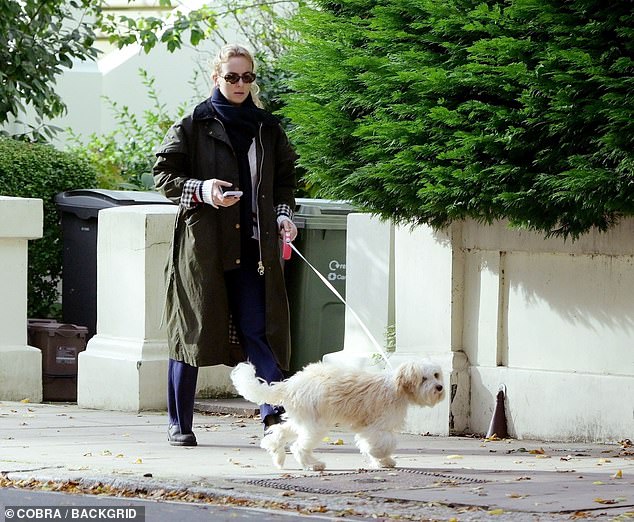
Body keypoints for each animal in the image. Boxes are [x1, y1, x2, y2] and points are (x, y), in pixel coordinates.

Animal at [230, 360, 442, 470]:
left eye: (436, 375)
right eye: (424, 378)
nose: (440, 387)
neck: (396, 387)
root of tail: (291, 384)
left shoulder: (369, 428)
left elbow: (370, 443)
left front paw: (382, 461)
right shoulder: (377, 428)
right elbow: (383, 444)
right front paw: (380, 456)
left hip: (302, 420)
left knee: (279, 432)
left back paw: (277, 453)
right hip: (315, 425)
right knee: (299, 446)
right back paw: (313, 465)